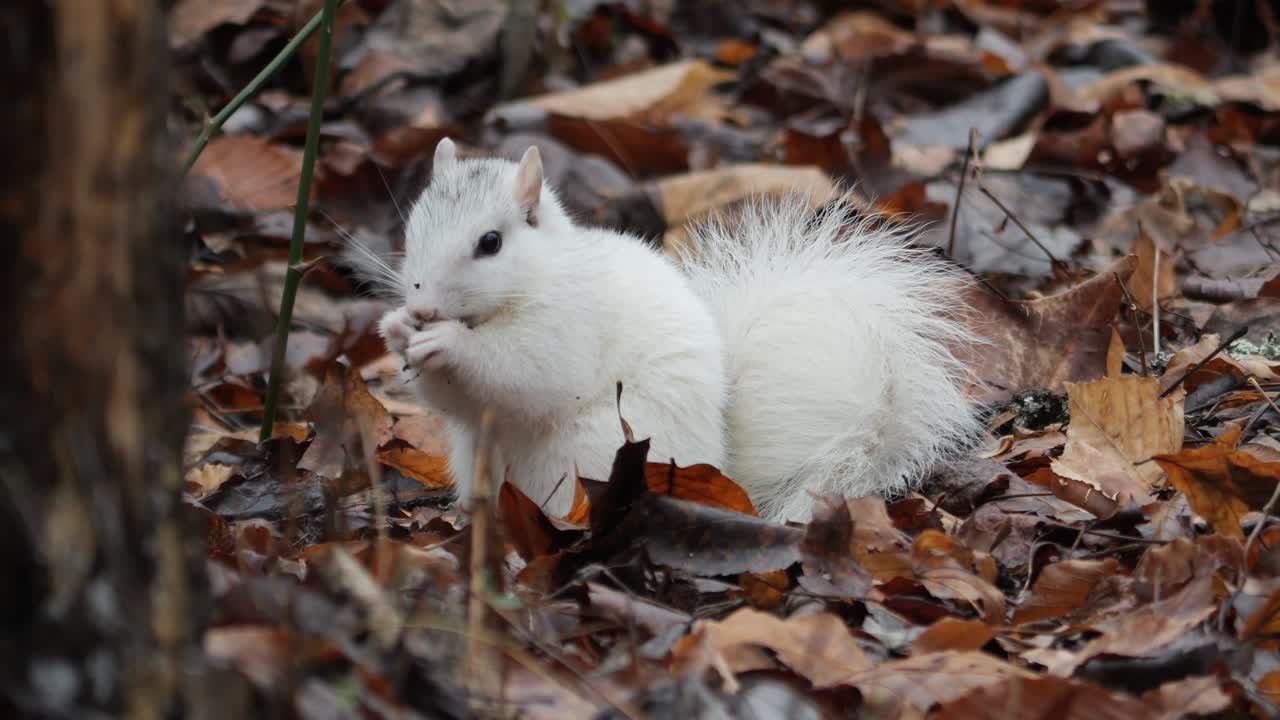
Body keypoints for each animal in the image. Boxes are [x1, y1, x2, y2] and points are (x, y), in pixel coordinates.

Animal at [365, 137, 981, 523]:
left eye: (490, 243)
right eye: (412, 227)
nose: (423, 308)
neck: (533, 280)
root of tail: (723, 472)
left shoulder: (571, 322)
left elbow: (529, 374)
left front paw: (446, 343)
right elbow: (460, 402)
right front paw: (395, 329)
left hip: (593, 453)